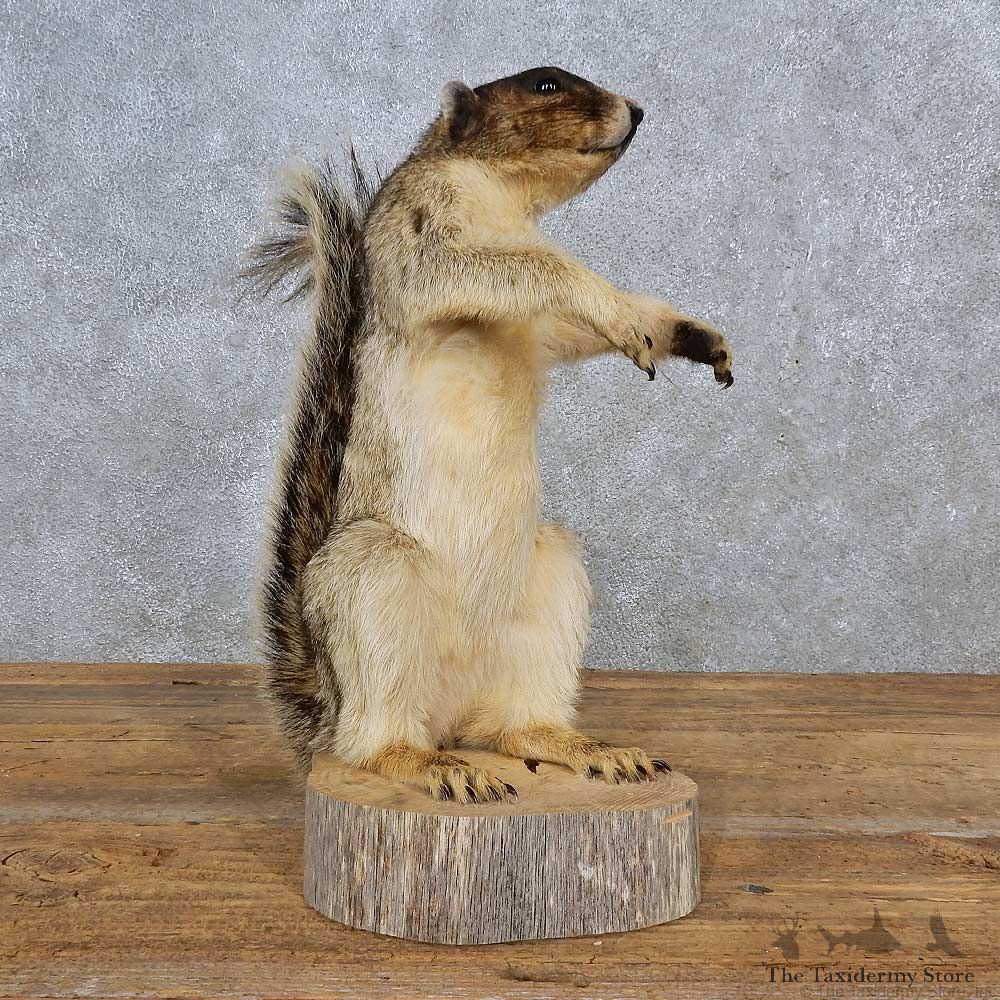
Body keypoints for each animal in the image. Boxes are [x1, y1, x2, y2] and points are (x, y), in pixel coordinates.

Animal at [241, 66, 735, 803]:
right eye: (545, 85)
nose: (637, 110)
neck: (506, 198)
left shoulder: (541, 330)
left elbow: (579, 320)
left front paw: (691, 334)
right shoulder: (420, 240)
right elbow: (520, 270)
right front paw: (615, 311)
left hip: (547, 581)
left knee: (515, 727)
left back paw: (585, 749)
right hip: (374, 581)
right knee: (373, 742)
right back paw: (430, 766)